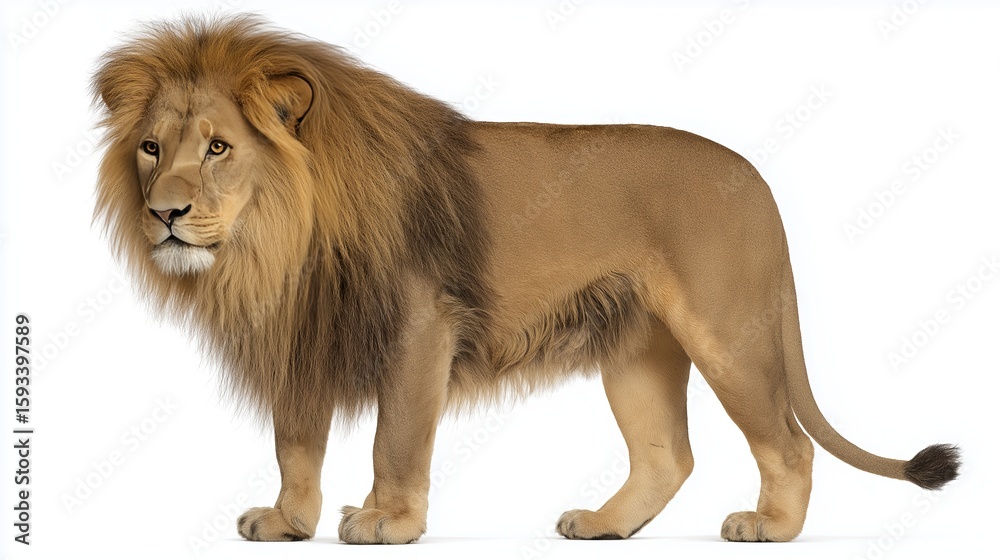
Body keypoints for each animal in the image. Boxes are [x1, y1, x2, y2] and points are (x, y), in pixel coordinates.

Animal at [92, 15, 959, 544]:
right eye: (150, 147)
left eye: (218, 148)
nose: (165, 213)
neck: (275, 243)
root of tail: (758, 179)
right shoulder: (304, 335)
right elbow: (294, 442)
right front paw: (288, 523)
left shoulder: (419, 325)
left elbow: (394, 437)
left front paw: (386, 522)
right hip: (636, 350)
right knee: (666, 457)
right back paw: (605, 525)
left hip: (729, 336)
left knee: (788, 443)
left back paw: (768, 527)